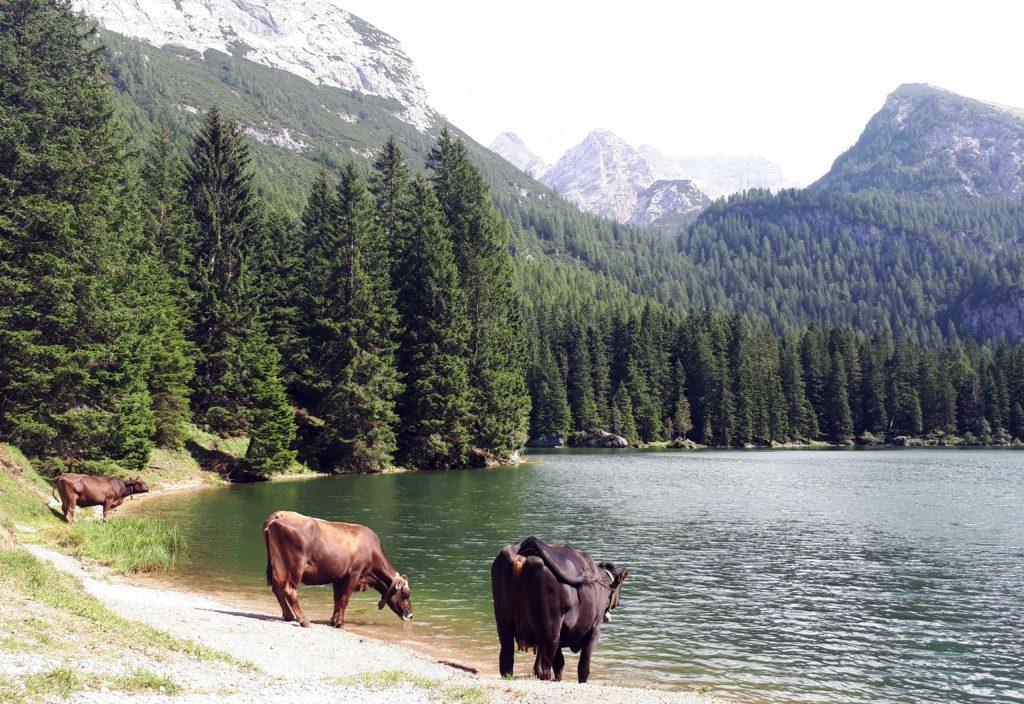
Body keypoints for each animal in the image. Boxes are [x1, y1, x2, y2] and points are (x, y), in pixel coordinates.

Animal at [262, 509, 413, 630]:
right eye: (405, 594)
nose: (411, 615)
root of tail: (278, 515)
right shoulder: (354, 574)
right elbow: (344, 599)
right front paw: (341, 623)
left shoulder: (338, 577)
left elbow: (337, 599)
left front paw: (333, 621)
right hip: (295, 567)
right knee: (290, 591)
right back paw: (304, 621)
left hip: (278, 565)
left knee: (277, 588)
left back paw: (288, 615)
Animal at [491, 540, 626, 683]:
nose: (617, 603)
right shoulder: (594, 628)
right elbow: (583, 665)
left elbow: (559, 663)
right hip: (550, 631)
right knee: (543, 668)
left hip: (505, 624)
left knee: (506, 661)